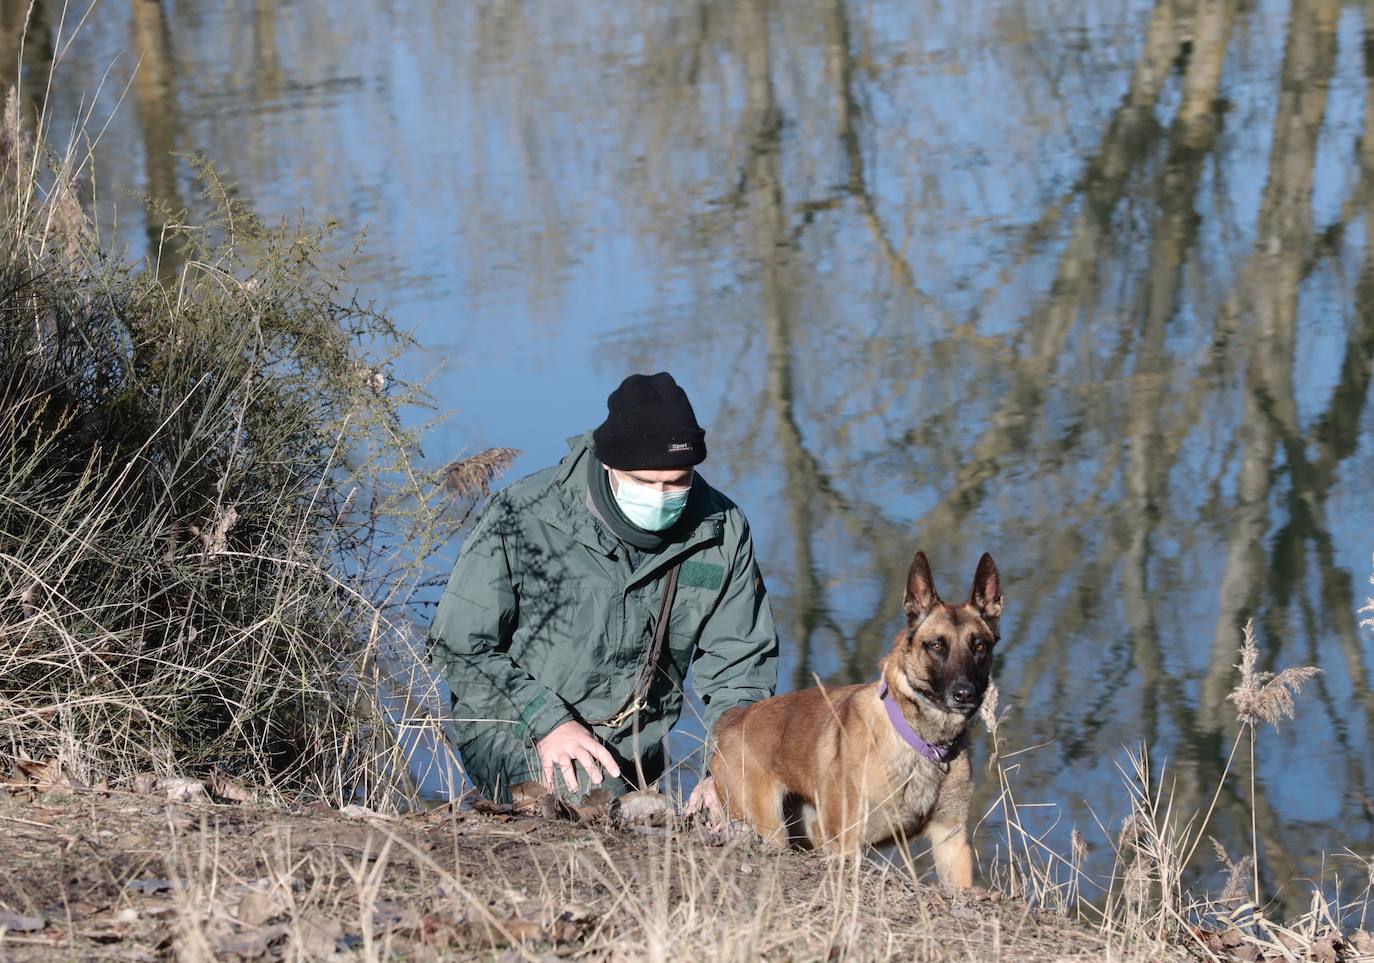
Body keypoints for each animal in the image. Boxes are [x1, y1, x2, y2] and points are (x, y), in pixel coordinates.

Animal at [708, 549, 1000, 884]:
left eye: (980, 646)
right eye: (936, 644)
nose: (965, 694)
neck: (922, 744)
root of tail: (735, 718)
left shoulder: (951, 841)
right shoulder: (846, 843)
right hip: (768, 828)